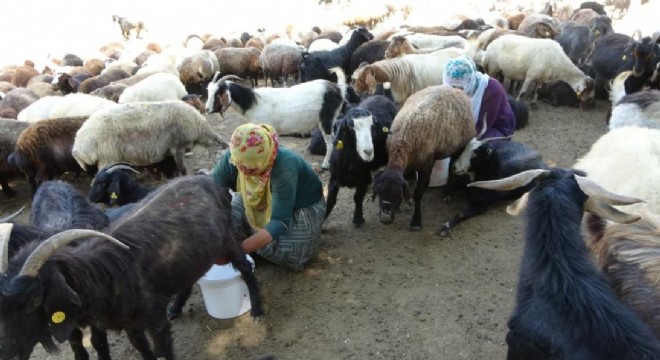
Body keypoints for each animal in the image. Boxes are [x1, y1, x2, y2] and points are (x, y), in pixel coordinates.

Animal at [206, 69, 348, 170]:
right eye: (208, 91)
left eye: (218, 93)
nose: (207, 109)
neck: (253, 102)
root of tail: (338, 88)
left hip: (326, 120)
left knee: (330, 142)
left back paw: (325, 165)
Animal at [326, 94, 398, 226]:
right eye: (350, 127)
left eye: (373, 127)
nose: (368, 152)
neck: (349, 162)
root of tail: (381, 96)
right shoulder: (334, 178)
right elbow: (331, 199)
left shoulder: (363, 179)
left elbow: (358, 198)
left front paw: (358, 218)